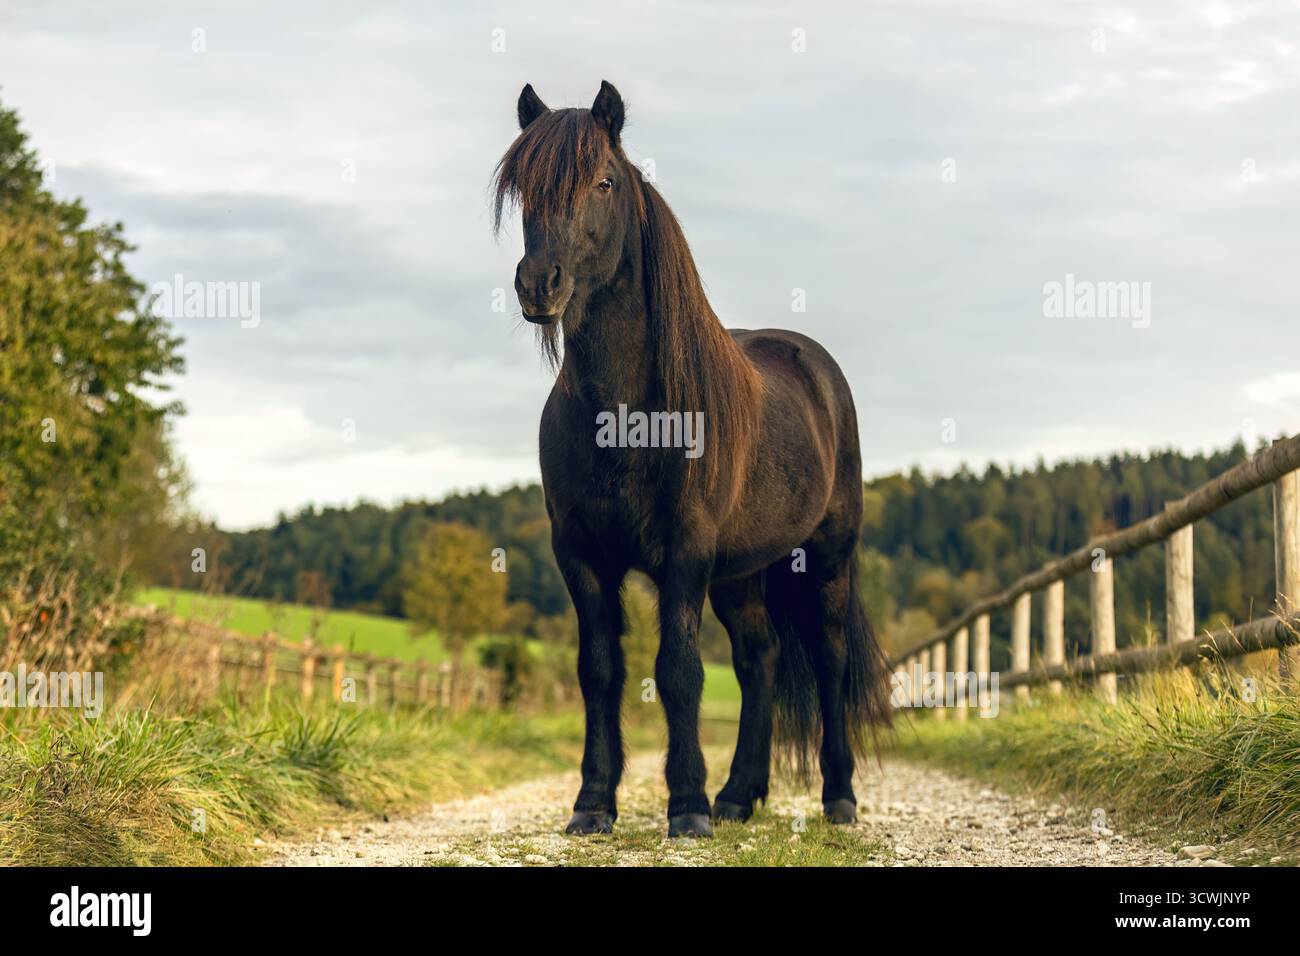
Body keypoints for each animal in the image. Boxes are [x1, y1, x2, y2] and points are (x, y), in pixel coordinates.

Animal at [493, 80, 891, 838]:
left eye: (604, 182)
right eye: (524, 187)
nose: (538, 285)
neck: (627, 418)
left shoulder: (685, 551)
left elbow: (678, 670)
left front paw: (686, 808)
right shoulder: (580, 554)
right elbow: (600, 671)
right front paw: (594, 803)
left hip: (827, 556)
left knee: (828, 660)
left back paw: (839, 797)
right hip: (740, 573)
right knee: (760, 659)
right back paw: (739, 795)